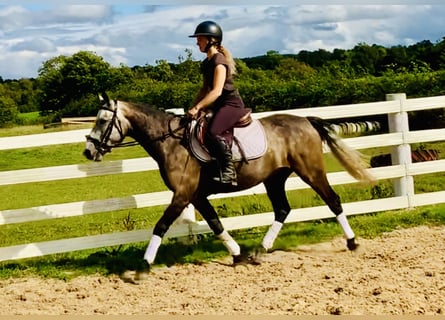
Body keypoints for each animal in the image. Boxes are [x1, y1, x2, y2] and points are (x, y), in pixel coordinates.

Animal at [82, 94, 372, 268]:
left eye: (103, 120)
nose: (88, 151)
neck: (172, 142)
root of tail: (306, 121)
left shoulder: (183, 194)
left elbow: (161, 225)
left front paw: (145, 263)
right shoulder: (196, 196)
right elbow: (215, 223)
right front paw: (237, 254)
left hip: (310, 171)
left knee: (333, 201)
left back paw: (352, 243)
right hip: (274, 178)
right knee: (282, 209)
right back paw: (260, 250)